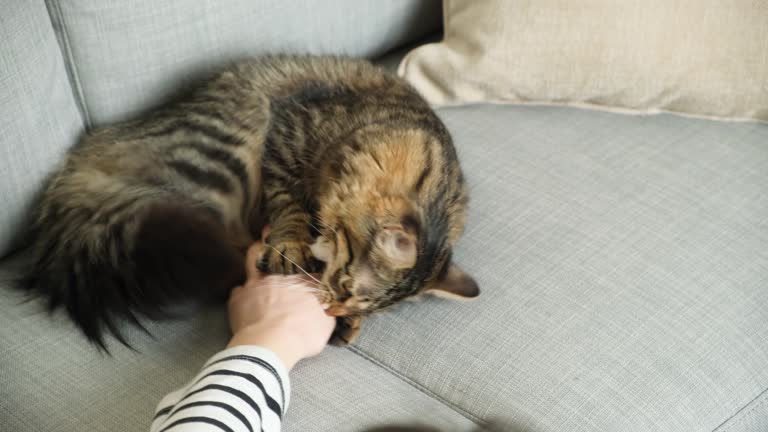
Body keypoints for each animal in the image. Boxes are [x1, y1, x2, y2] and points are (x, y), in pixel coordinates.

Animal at [22, 54, 480, 352]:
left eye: (357, 300)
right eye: (347, 286)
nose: (332, 308)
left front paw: (349, 322)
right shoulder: (286, 136)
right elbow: (290, 203)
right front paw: (291, 246)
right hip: (226, 154)